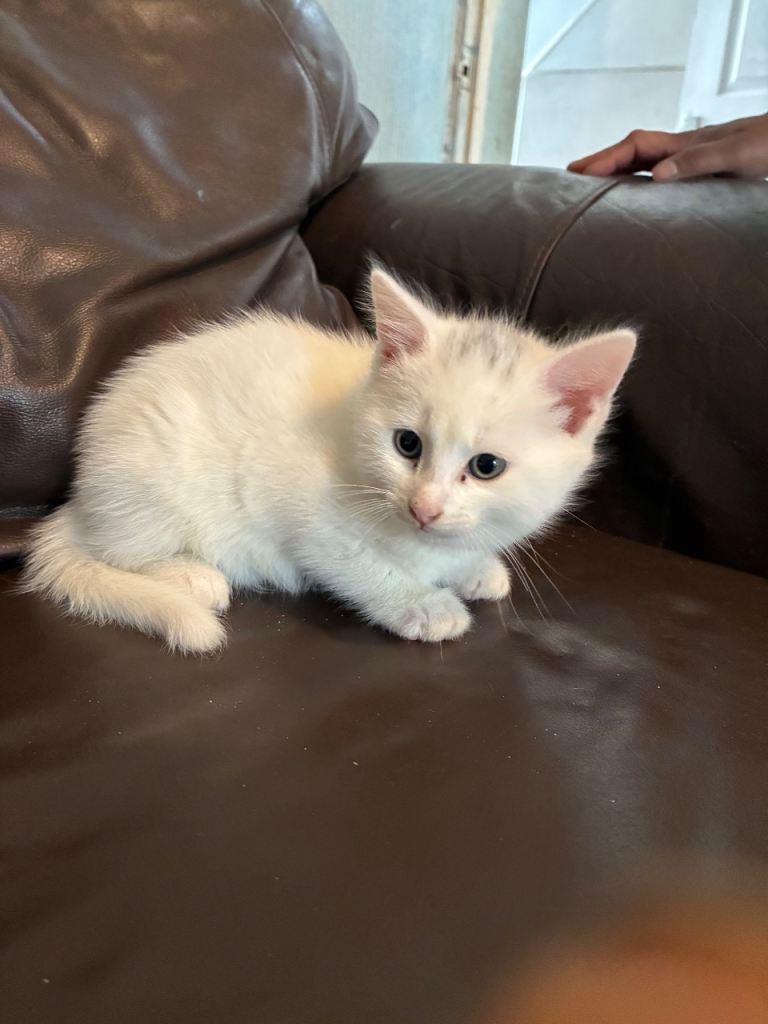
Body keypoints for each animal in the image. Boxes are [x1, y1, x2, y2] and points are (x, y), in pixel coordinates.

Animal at [23, 268, 636, 654]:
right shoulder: (306, 511)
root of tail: (80, 497)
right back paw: (190, 575)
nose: (425, 508)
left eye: (487, 467)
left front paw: (473, 566)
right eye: (407, 444)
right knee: (116, 551)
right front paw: (424, 605)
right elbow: (358, 564)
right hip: (155, 476)